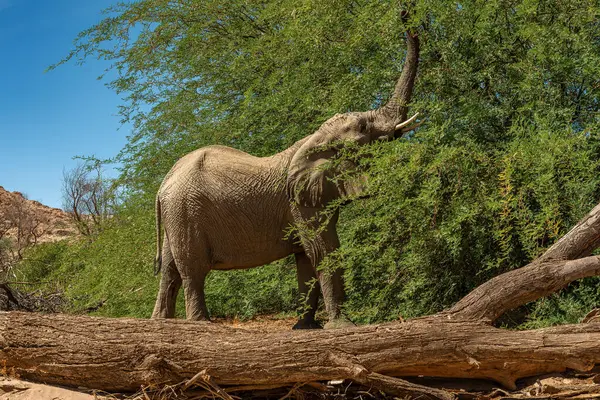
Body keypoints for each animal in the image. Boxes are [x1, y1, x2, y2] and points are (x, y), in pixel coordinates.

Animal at [152, 22, 420, 328]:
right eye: (363, 128)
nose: (406, 17)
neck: (312, 140)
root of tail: (164, 182)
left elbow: (305, 257)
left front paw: (306, 328)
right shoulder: (300, 201)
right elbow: (322, 250)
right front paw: (341, 326)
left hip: (176, 213)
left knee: (170, 270)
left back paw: (159, 322)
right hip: (186, 210)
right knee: (192, 270)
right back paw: (201, 323)